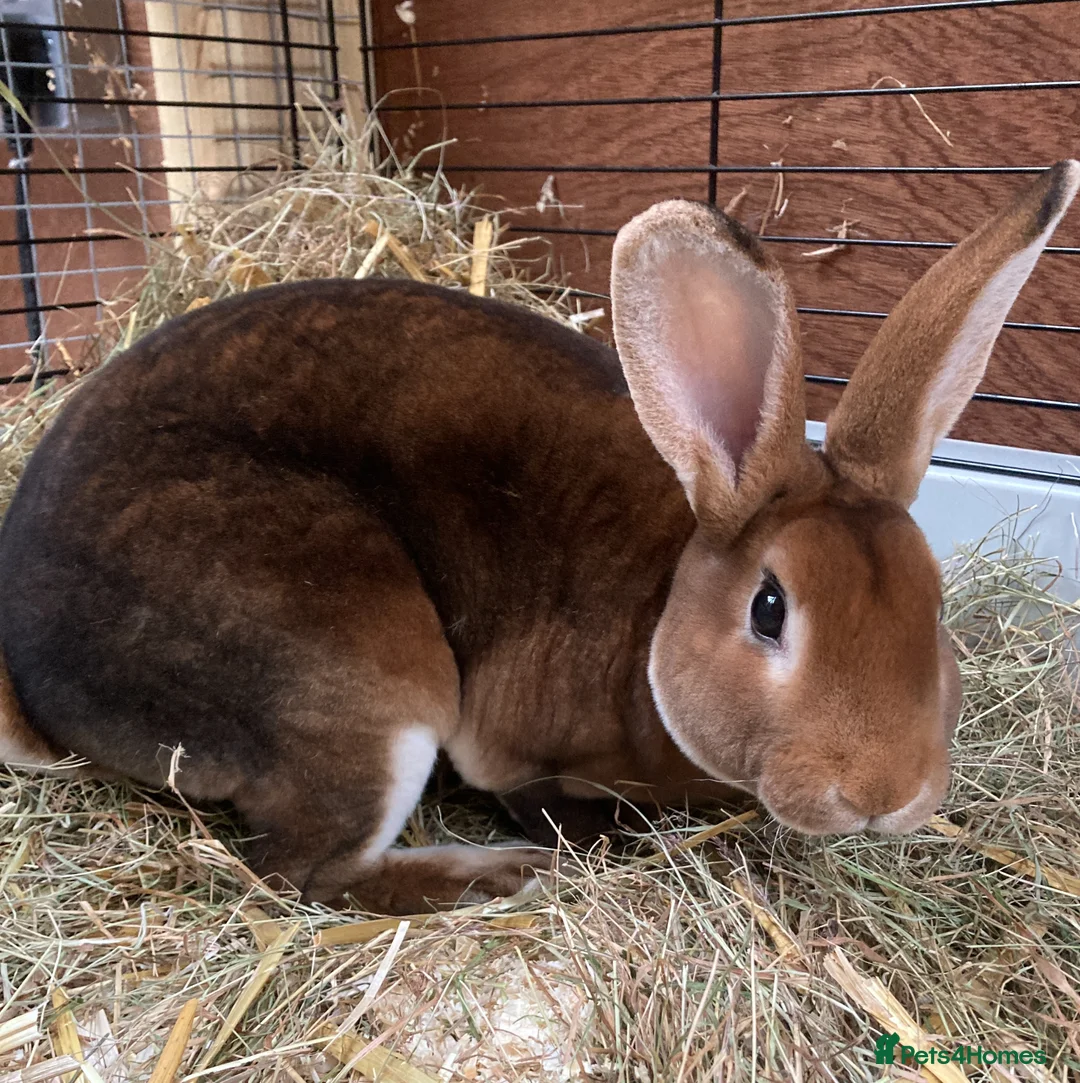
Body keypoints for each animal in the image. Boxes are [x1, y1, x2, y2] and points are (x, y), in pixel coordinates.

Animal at [0, 161, 1075, 914]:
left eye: (935, 605)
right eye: (770, 608)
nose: (885, 792)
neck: (655, 614)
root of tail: (40, 683)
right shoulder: (512, 754)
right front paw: (603, 843)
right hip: (361, 676)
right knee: (308, 871)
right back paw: (498, 873)